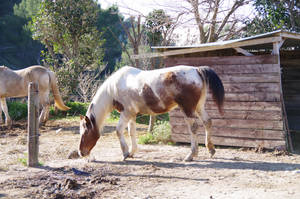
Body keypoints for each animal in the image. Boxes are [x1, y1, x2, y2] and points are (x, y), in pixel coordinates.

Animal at [78, 65, 224, 162]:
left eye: (85, 133)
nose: (81, 153)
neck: (114, 88)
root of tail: (196, 70)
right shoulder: (132, 115)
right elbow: (131, 132)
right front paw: (132, 152)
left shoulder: (126, 113)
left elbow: (119, 131)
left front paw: (125, 153)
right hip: (198, 107)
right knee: (207, 122)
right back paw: (211, 150)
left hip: (188, 109)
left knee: (193, 128)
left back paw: (191, 155)